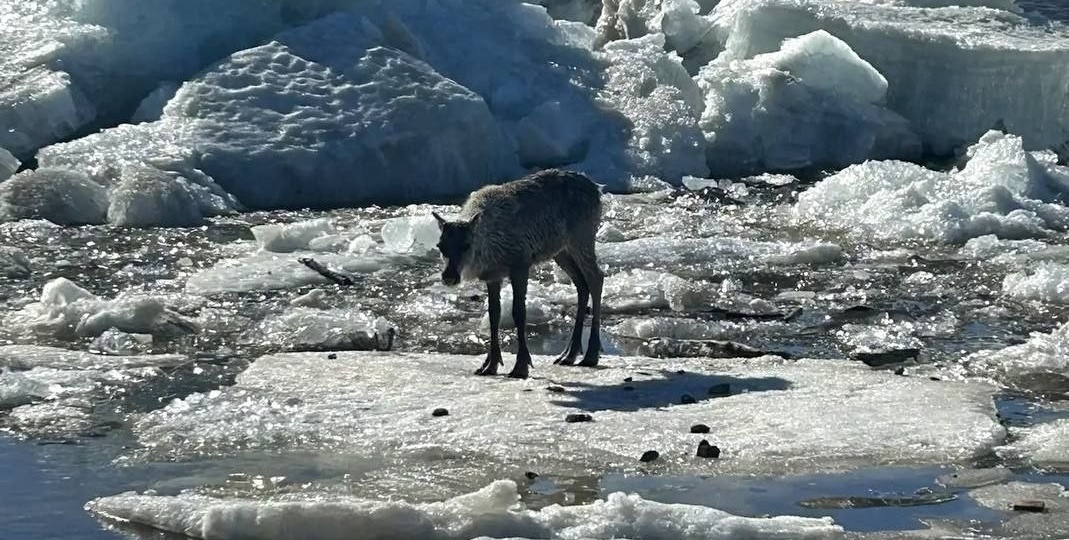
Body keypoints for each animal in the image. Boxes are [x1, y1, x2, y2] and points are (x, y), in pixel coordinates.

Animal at [432, 168, 605, 379]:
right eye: (440, 246)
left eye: (466, 245)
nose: (449, 276)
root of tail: (597, 189)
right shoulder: (493, 275)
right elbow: (494, 314)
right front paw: (489, 365)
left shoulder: (520, 263)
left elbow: (519, 312)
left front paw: (521, 366)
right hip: (561, 251)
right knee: (581, 285)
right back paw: (569, 354)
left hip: (582, 237)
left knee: (596, 278)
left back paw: (591, 355)